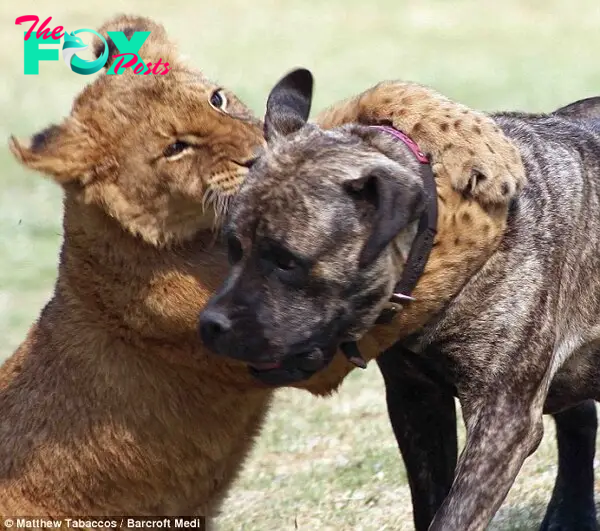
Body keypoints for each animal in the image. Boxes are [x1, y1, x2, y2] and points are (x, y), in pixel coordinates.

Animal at [199, 70, 600, 531]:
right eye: (233, 247)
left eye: (286, 260)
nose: (210, 324)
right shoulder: (416, 403)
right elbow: (429, 501)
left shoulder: (502, 420)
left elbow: (453, 515)